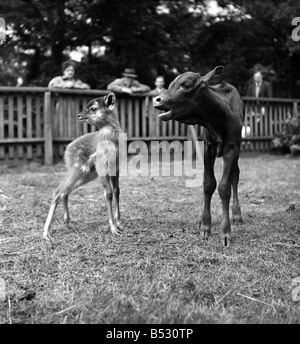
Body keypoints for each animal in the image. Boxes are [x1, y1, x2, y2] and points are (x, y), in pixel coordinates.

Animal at [154, 66, 245, 245]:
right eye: (171, 83)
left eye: (186, 85)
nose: (158, 99)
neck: (217, 120)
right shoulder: (208, 146)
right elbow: (208, 183)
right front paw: (205, 226)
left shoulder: (232, 148)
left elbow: (224, 187)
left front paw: (226, 232)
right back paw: (201, 217)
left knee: (235, 176)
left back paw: (237, 215)